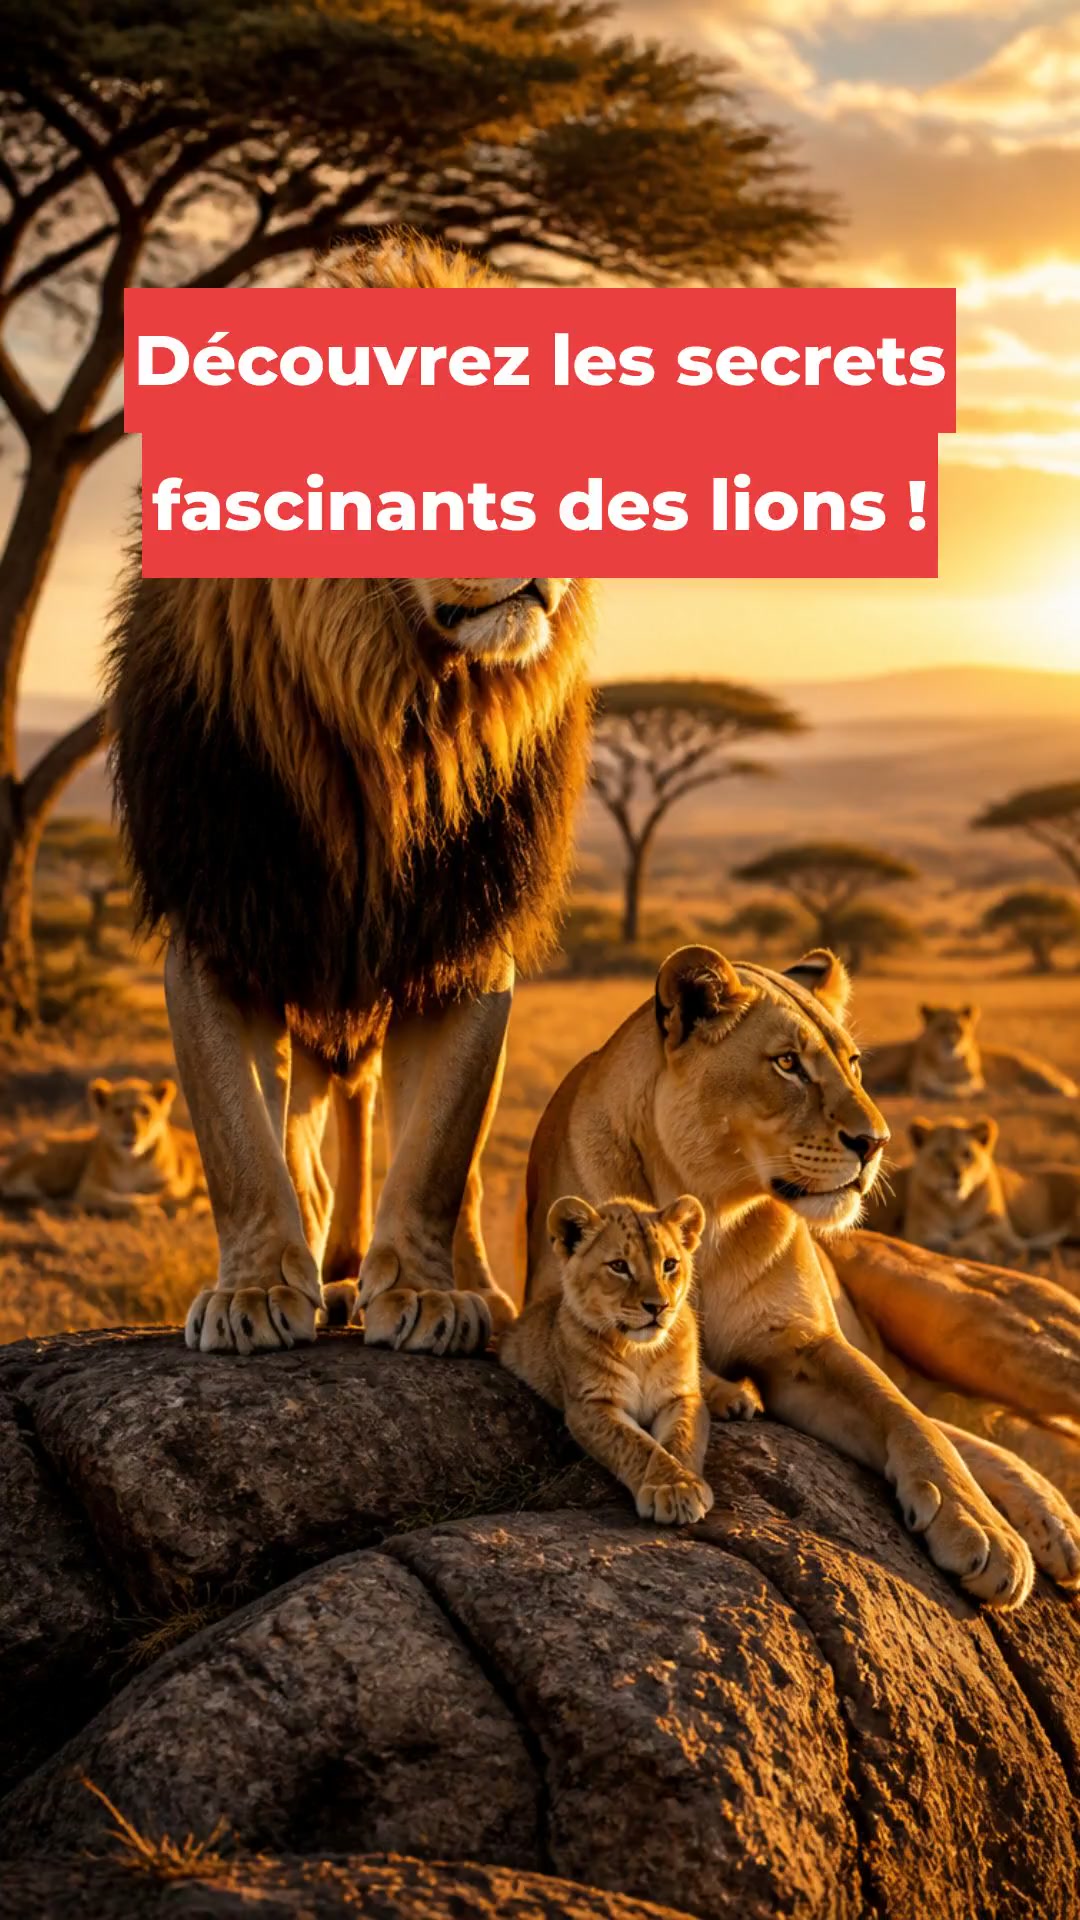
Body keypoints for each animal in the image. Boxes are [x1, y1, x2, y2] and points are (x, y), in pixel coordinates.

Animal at [0, 1077, 204, 1215]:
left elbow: (164, 1193)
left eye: (145, 1111)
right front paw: (148, 1207)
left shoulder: (175, 1183)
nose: (131, 1134)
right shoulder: (88, 1186)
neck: (130, 1162)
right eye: (118, 1111)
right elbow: (115, 1198)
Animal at [107, 237, 596, 1357]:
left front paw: (422, 1292)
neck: (396, 710)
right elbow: (241, 1144)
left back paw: (456, 1286)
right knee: (306, 1130)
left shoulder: (464, 935)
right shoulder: (224, 920)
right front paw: (253, 1292)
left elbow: (439, 1151)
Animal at [501, 1193, 760, 1526]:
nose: (658, 1306)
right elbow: (635, 1444)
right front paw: (672, 1488)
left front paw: (681, 1484)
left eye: (670, 1264)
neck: (639, 1353)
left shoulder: (680, 1397)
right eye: (619, 1266)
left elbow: (682, 1437)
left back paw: (736, 1398)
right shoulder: (591, 1405)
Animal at [864, 1002, 1077, 1101]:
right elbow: (933, 1086)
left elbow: (968, 1086)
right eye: (941, 1029)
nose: (951, 1043)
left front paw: (965, 1093)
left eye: (959, 1029)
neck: (947, 1064)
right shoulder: (920, 1078)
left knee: (1065, 1089)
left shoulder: (974, 1078)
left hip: (1036, 1073)